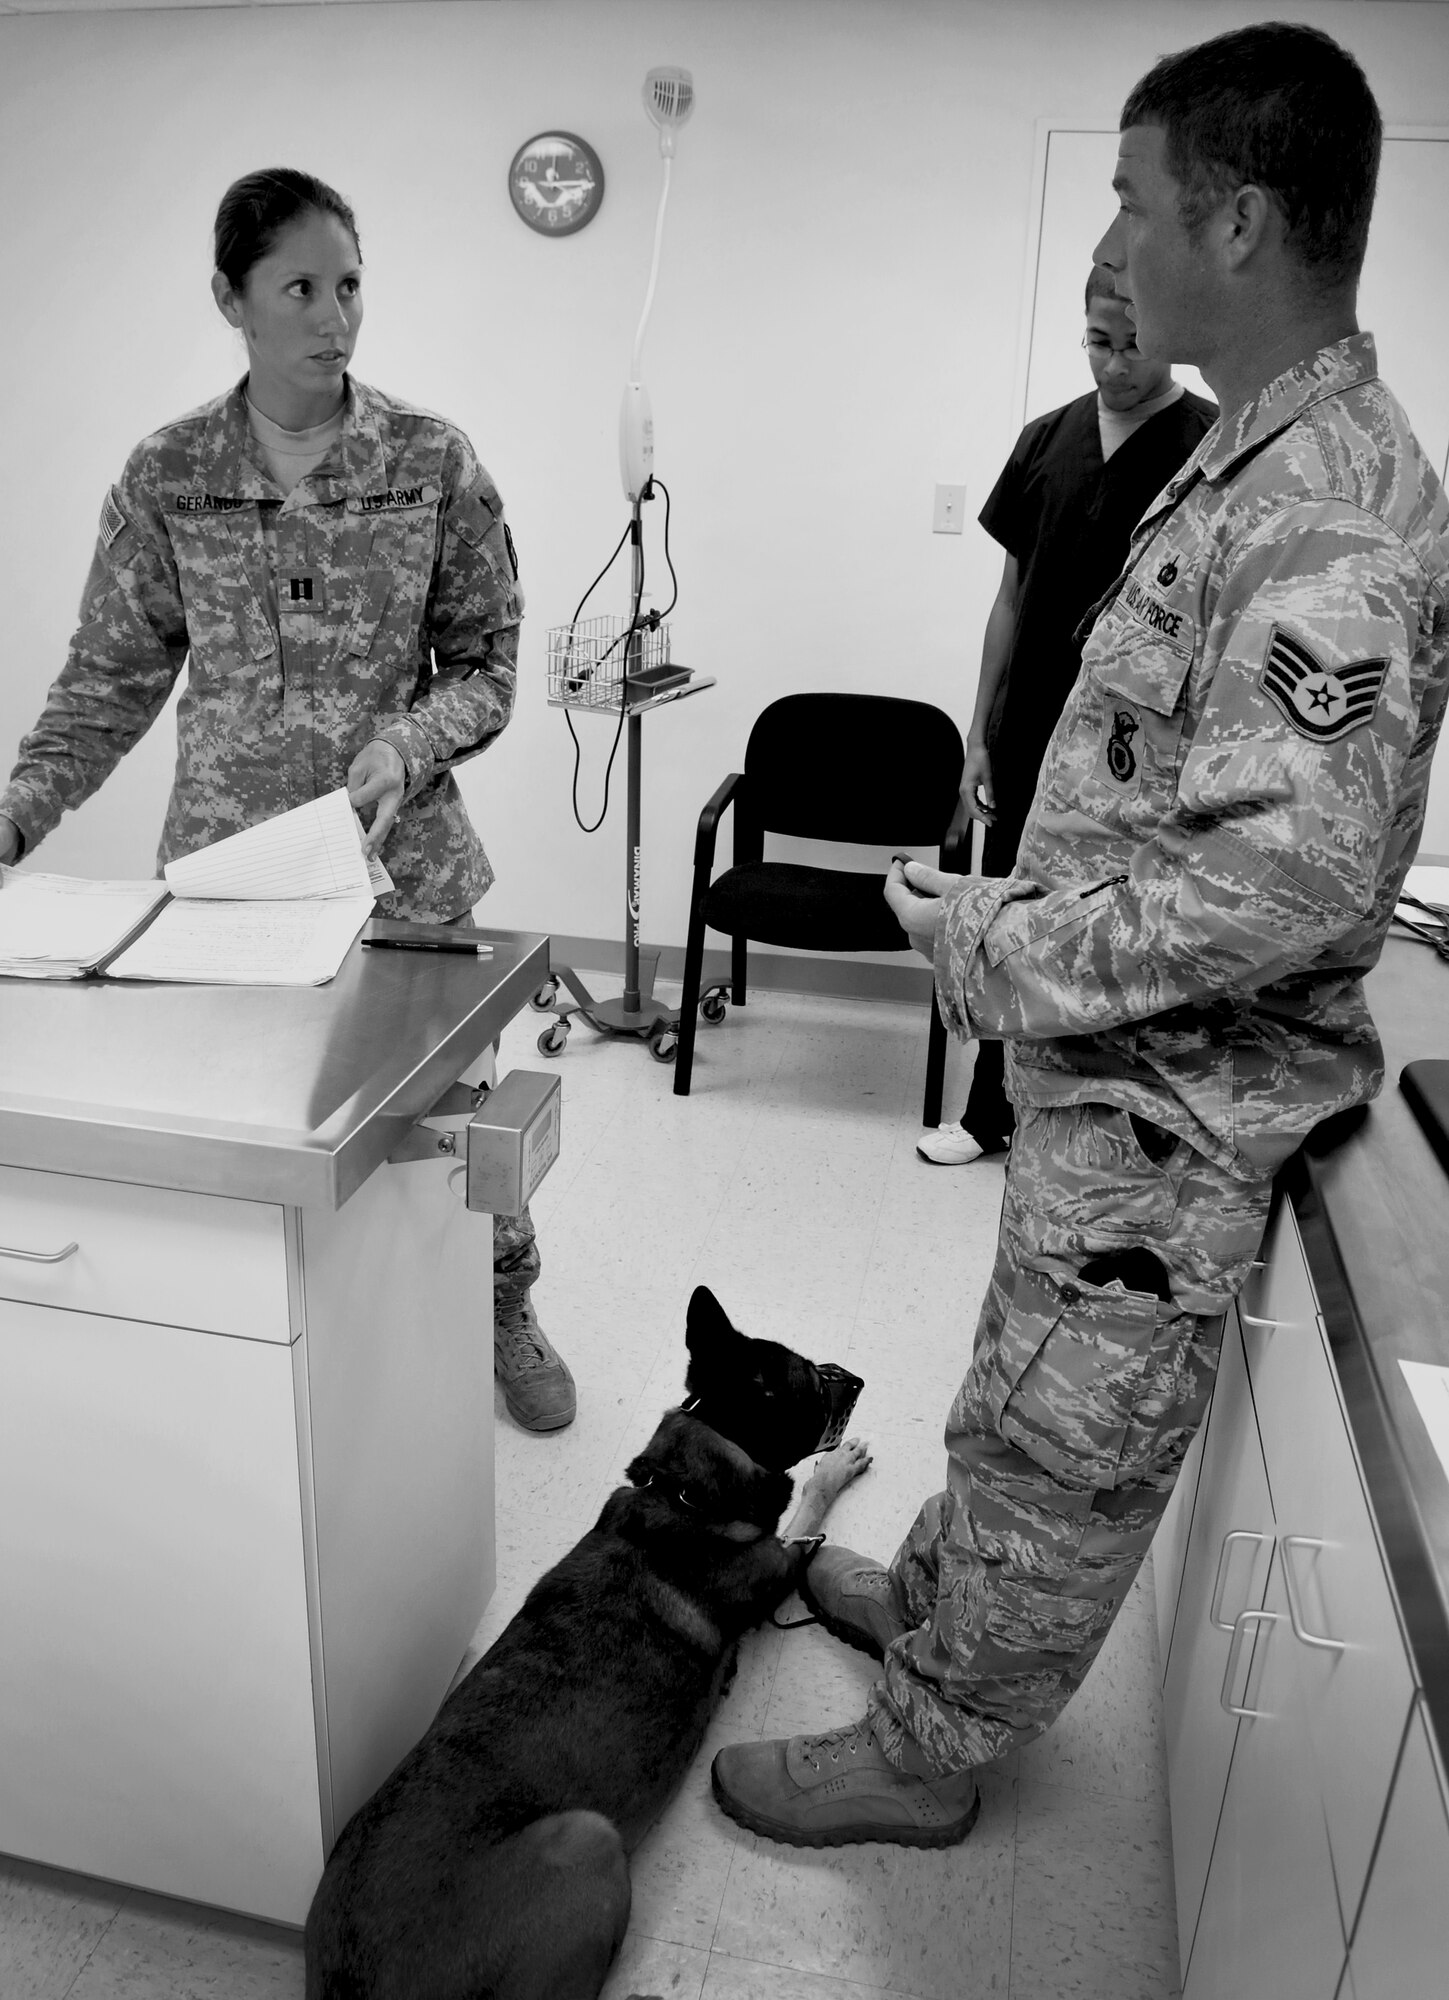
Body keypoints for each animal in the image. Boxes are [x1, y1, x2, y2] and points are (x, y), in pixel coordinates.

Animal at [304, 1280, 860, 2000]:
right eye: (813, 1381)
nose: (855, 1379)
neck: (682, 1494)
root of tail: (348, 1984)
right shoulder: (780, 1561)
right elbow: (811, 1509)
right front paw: (838, 1468)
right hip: (589, 1838)